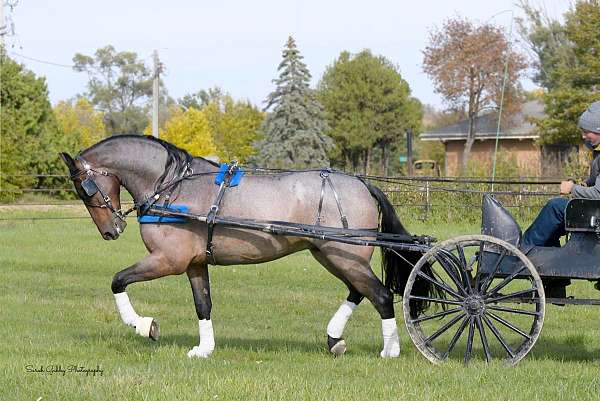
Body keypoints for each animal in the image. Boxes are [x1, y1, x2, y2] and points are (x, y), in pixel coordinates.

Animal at [61, 134, 428, 356]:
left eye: (85, 189)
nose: (111, 230)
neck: (173, 187)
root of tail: (363, 184)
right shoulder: (194, 263)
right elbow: (203, 304)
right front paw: (204, 349)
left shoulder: (169, 260)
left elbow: (118, 280)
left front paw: (143, 325)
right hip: (329, 254)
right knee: (359, 291)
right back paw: (334, 339)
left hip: (345, 256)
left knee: (380, 295)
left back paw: (389, 350)